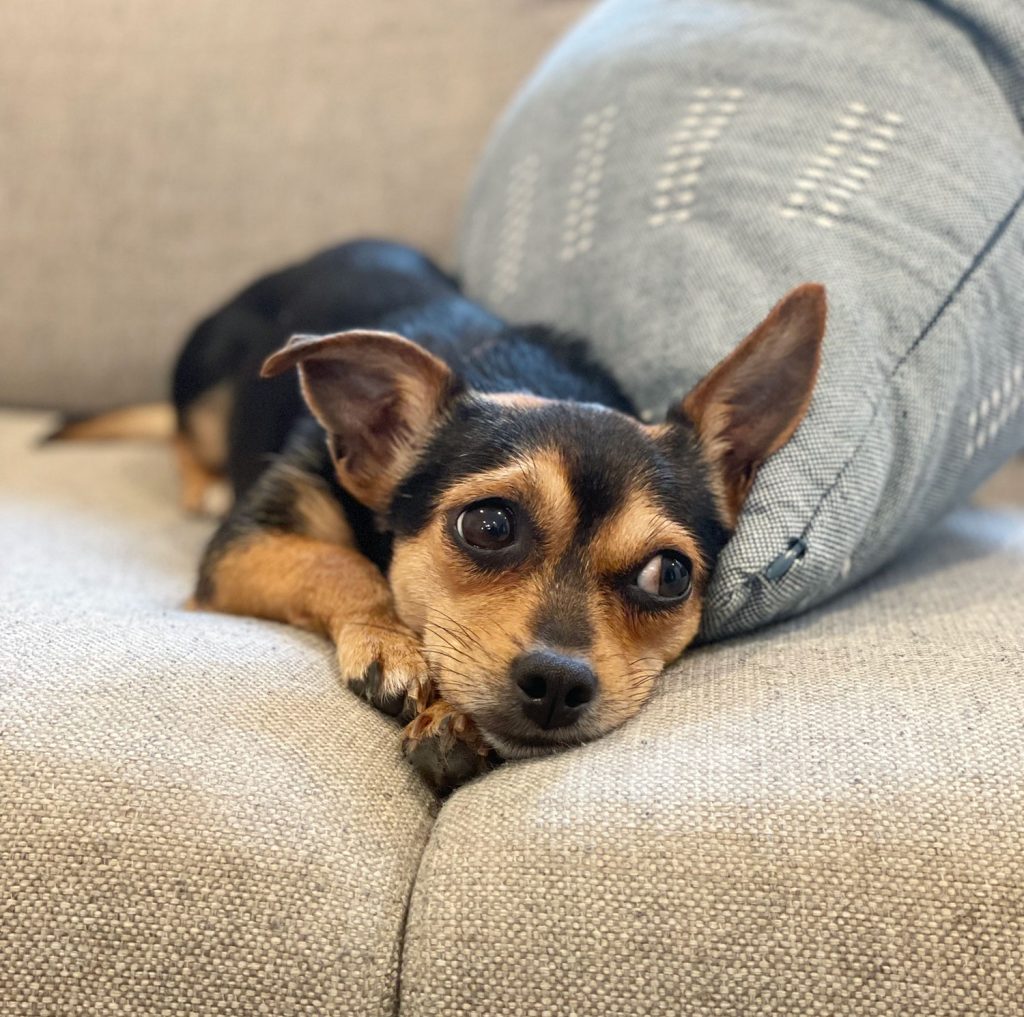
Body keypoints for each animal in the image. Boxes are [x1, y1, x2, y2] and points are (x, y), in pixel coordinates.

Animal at [66, 239, 831, 794]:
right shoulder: (243, 548)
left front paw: (452, 720)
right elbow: (341, 563)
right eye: (488, 526)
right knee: (183, 434)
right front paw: (393, 645)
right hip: (203, 379)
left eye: (669, 576)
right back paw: (205, 484)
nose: (559, 683)